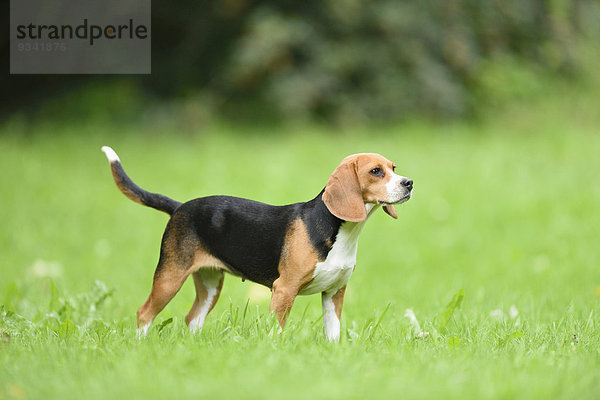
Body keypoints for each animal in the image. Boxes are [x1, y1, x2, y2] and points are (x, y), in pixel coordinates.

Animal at [102, 147, 412, 340]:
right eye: (376, 171)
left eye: (393, 168)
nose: (409, 183)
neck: (340, 231)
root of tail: (180, 207)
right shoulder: (284, 289)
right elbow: (277, 329)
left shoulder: (334, 292)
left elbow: (333, 332)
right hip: (170, 276)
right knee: (144, 313)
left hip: (210, 284)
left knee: (193, 318)